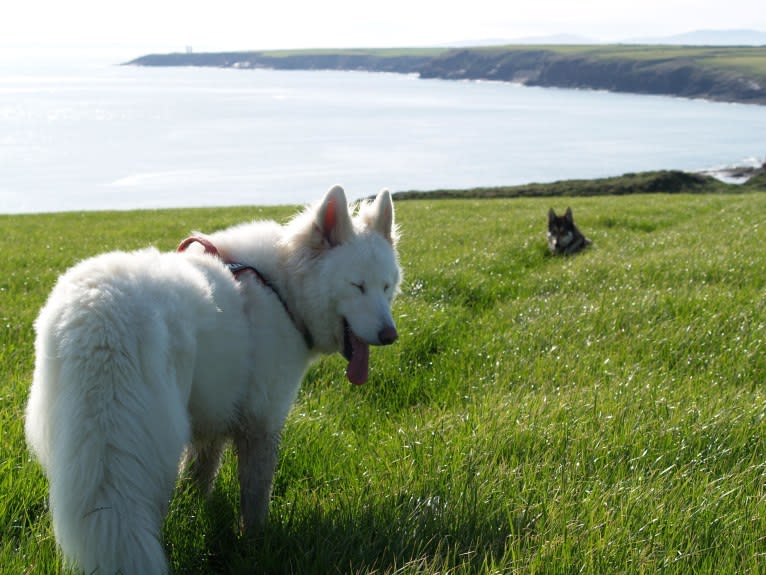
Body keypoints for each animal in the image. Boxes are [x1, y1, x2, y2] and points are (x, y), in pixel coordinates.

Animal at [25, 187, 402, 572]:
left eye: (386, 287)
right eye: (357, 286)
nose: (390, 336)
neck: (282, 288)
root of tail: (102, 316)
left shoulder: (210, 423)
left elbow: (198, 480)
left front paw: (193, 513)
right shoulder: (261, 423)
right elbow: (255, 498)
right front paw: (255, 545)